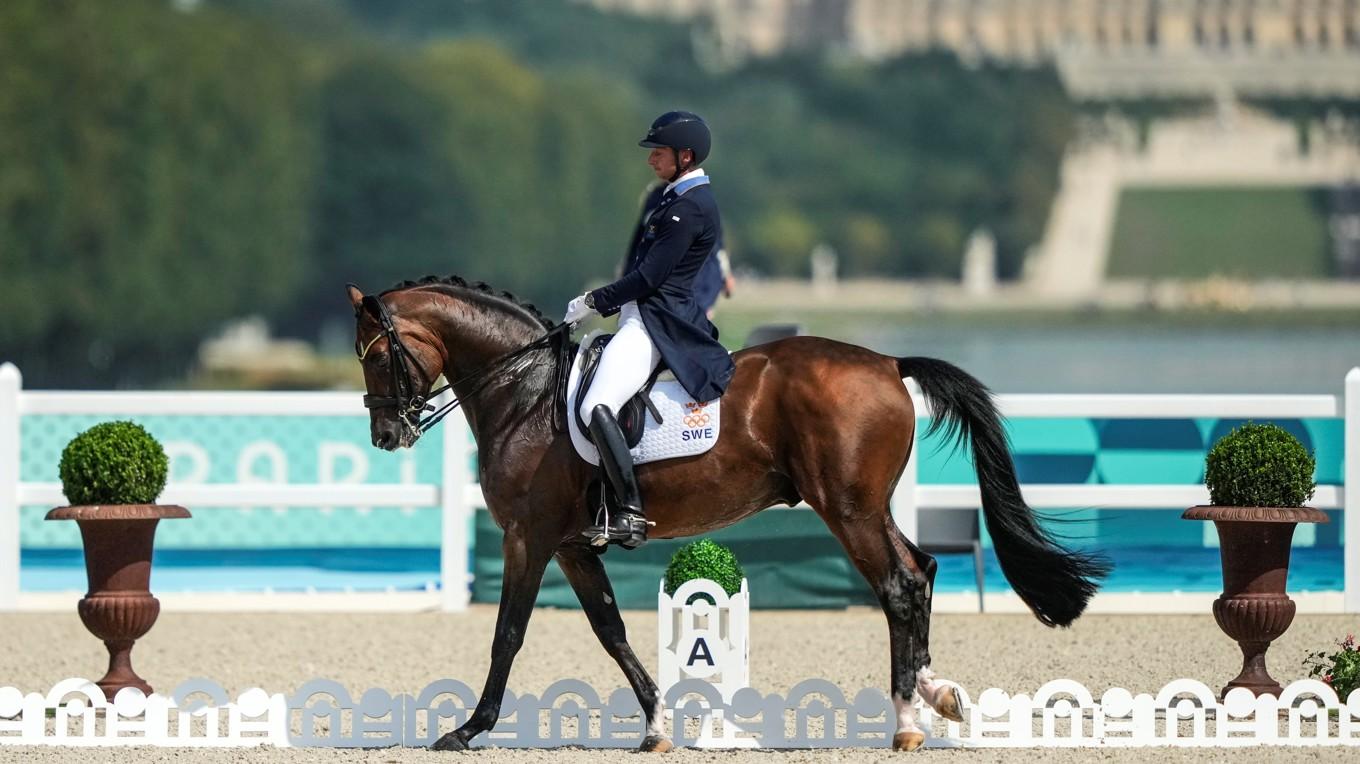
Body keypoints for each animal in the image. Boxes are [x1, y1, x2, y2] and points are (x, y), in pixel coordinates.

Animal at [345, 274, 1109, 750]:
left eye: (378, 355)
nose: (387, 436)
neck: (524, 392)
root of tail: (888, 363)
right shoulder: (571, 543)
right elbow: (610, 629)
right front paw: (656, 725)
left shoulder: (528, 537)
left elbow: (507, 634)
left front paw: (467, 729)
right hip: (867, 506)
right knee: (919, 572)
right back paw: (934, 696)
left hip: (847, 510)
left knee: (897, 585)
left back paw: (904, 721)